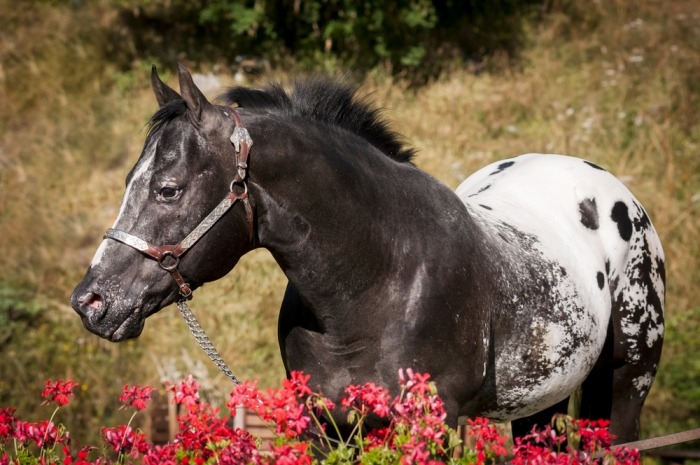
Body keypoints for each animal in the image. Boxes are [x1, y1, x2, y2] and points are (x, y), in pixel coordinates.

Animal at [71, 63, 668, 440]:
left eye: (168, 189)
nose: (91, 302)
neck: (378, 284)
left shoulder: (434, 422)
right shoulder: (326, 427)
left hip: (626, 385)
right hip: (541, 403)